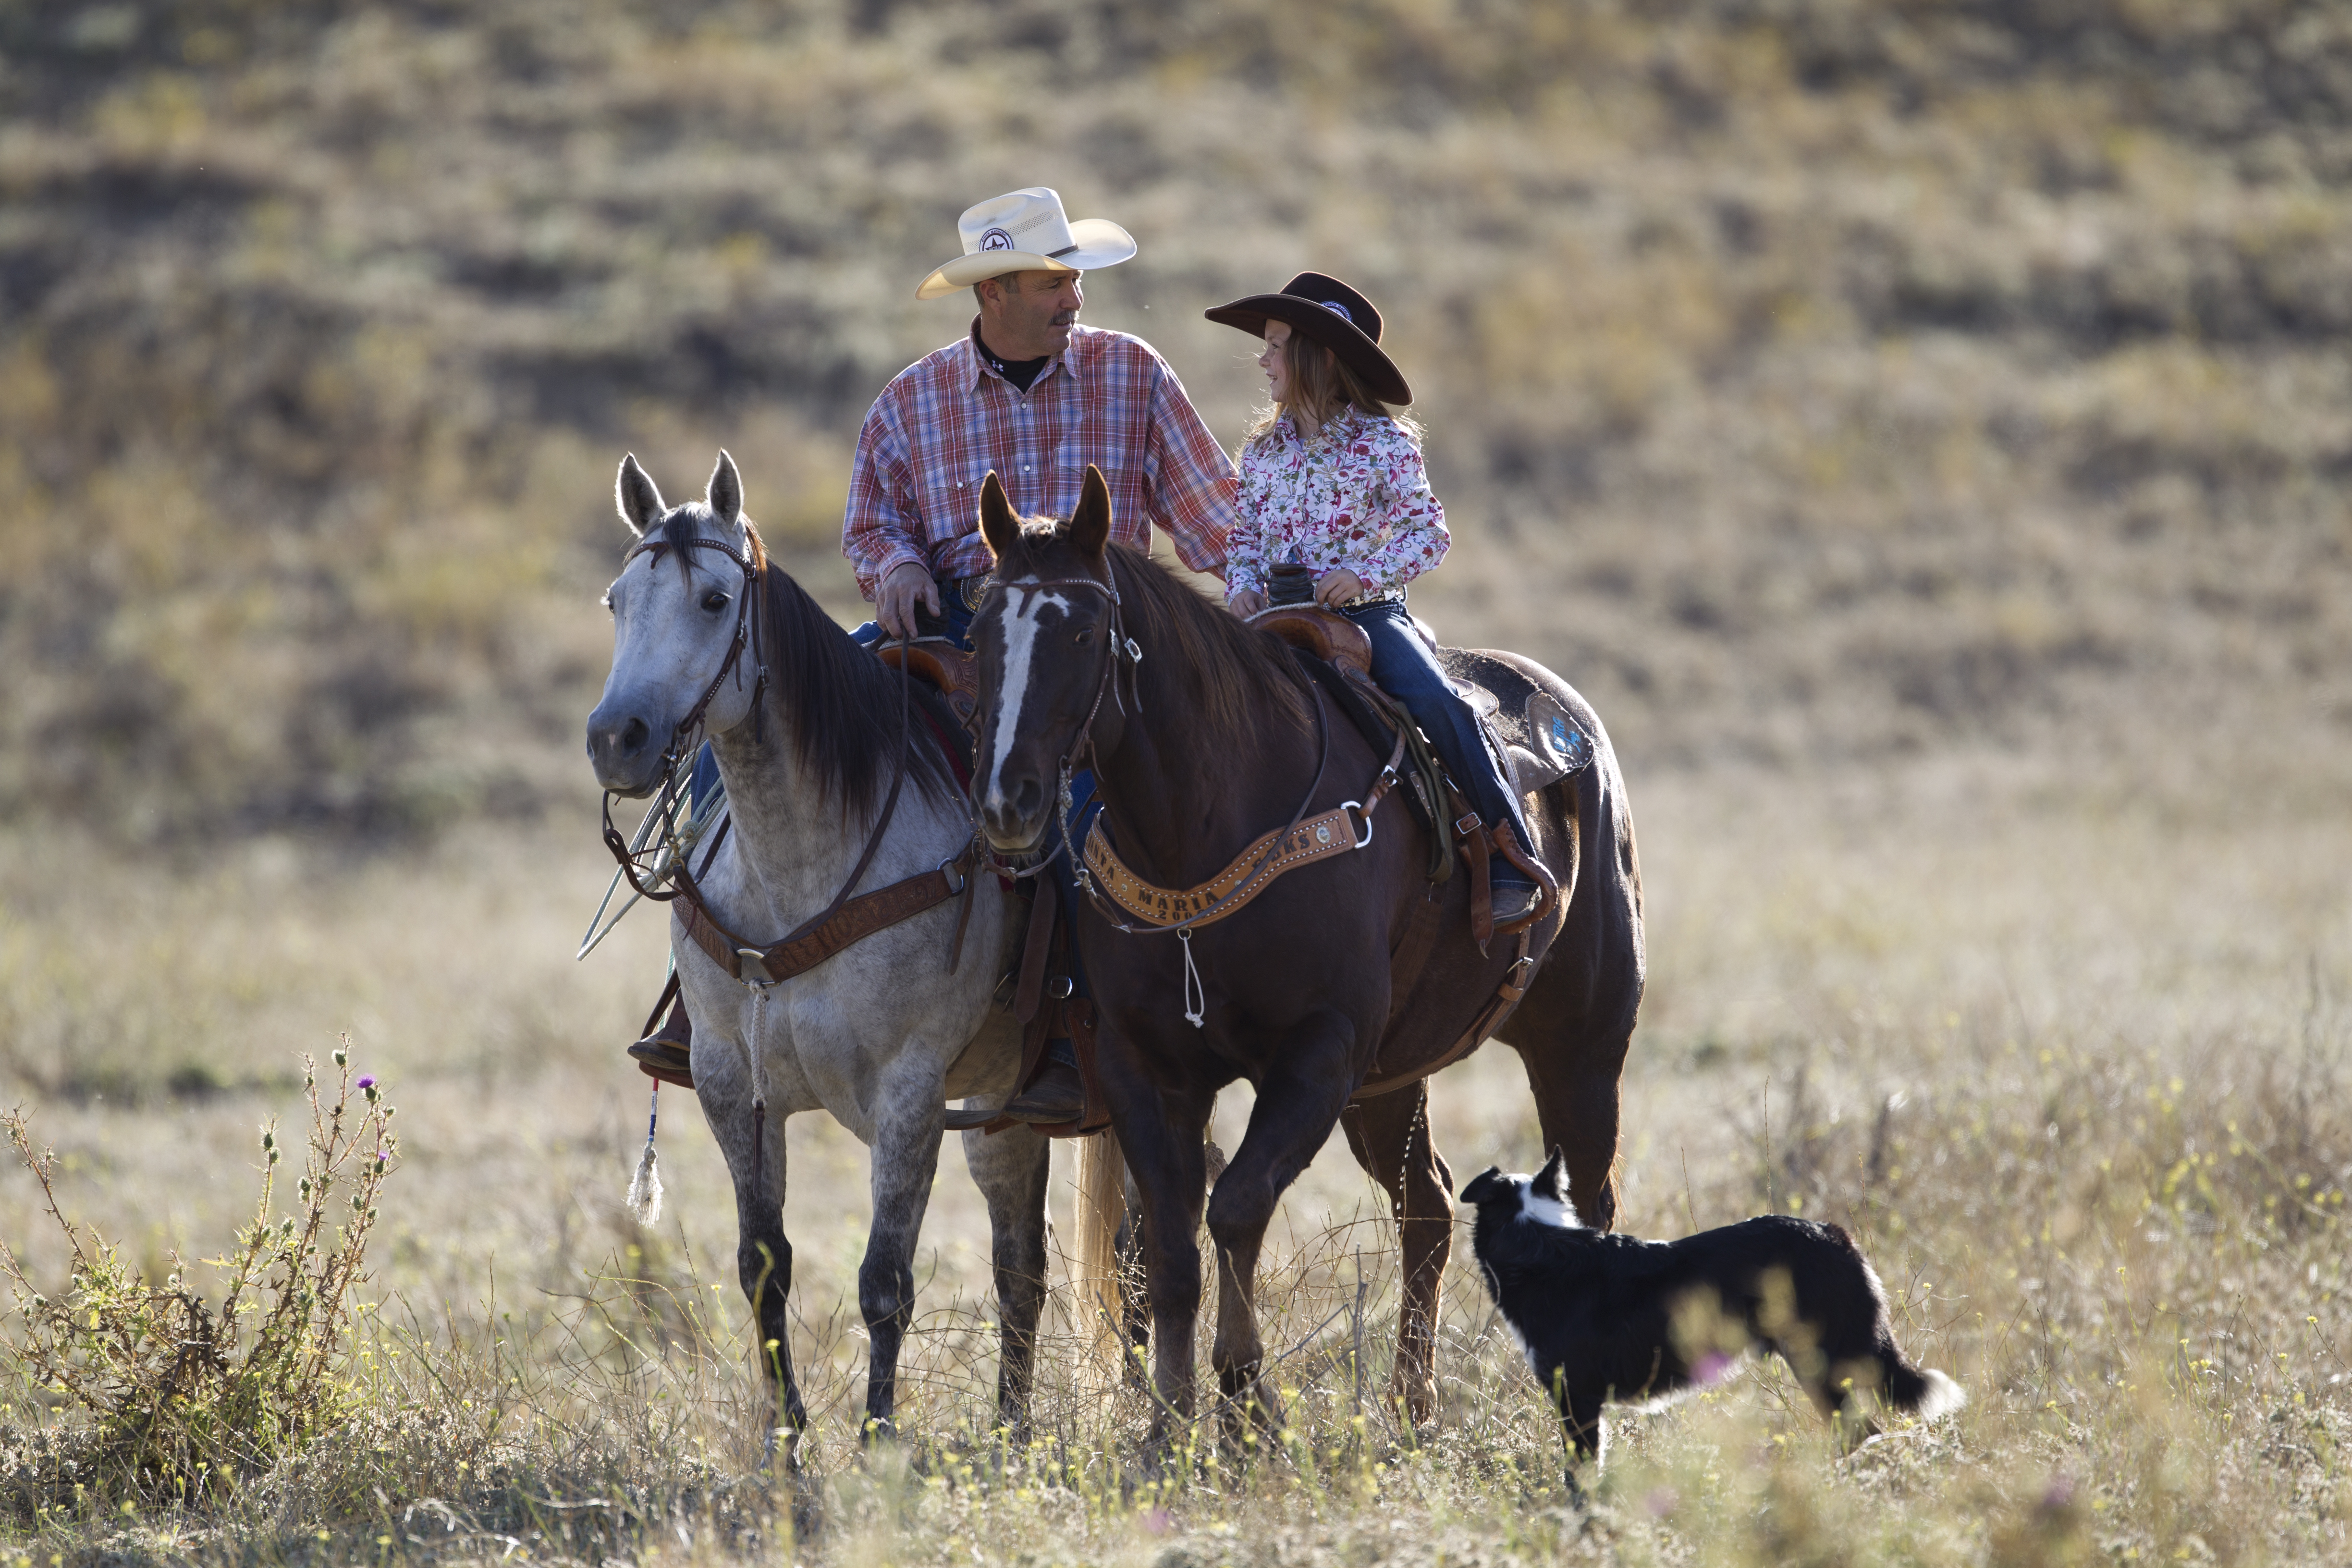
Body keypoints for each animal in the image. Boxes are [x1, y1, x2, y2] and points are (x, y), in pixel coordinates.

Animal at [585, 451, 1051, 1452]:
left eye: (716, 599)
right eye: (615, 600)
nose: (616, 739)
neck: (802, 862)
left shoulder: (911, 1092)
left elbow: (885, 1280)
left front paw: (877, 1436)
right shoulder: (732, 1082)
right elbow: (763, 1262)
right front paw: (788, 1438)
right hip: (1003, 1108)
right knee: (1020, 1261)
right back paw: (1010, 1427)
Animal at [970, 469, 1644, 1450]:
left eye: (1084, 632)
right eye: (983, 631)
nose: (1008, 801)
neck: (1206, 827)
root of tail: (1570, 721)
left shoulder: (1319, 1054)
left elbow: (1236, 1206)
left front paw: (1249, 1403)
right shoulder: (1145, 1069)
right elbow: (1170, 1244)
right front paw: (1169, 1428)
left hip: (1580, 1048)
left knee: (1586, 1196)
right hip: (1391, 1081)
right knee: (1427, 1207)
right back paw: (1412, 1406)